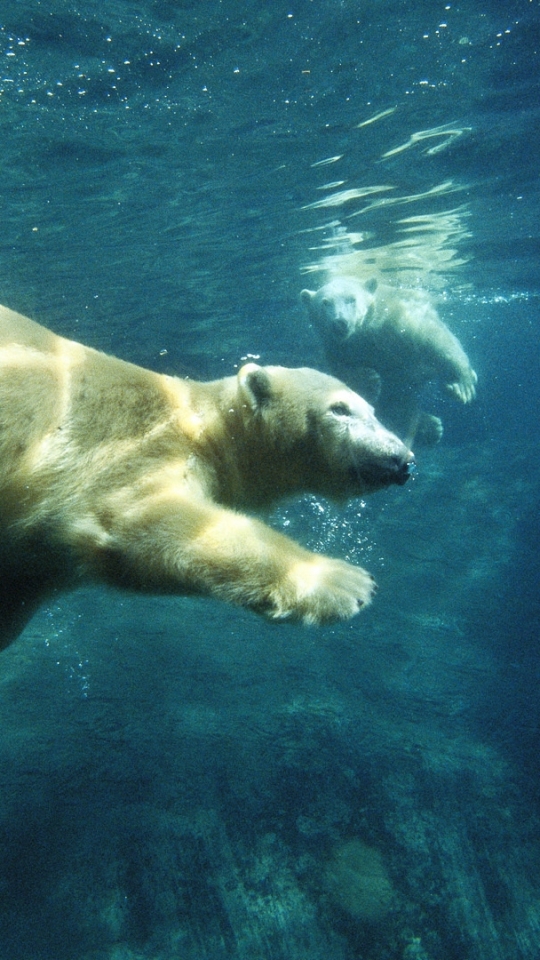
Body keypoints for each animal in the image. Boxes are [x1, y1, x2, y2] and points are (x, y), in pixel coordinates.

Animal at [0, 304, 416, 648]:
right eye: (340, 409)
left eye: (372, 410)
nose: (402, 460)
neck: (201, 424)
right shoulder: (131, 449)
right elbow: (140, 519)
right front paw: (345, 582)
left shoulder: (33, 566)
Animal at [302, 274, 478, 446]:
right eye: (325, 303)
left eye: (351, 299)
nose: (340, 322)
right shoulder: (338, 347)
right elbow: (341, 373)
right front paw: (370, 380)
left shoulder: (398, 319)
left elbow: (434, 338)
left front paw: (461, 385)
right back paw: (430, 427)